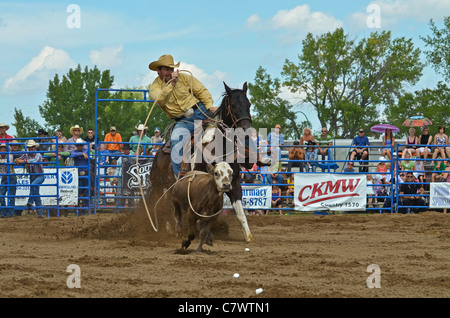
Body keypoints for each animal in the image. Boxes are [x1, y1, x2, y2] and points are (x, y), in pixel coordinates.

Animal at [148, 81, 258, 241]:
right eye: (233, 105)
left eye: (248, 104)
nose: (247, 131)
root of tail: (157, 157)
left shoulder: (234, 182)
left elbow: (240, 213)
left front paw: (249, 237)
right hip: (161, 187)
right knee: (165, 206)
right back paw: (171, 230)